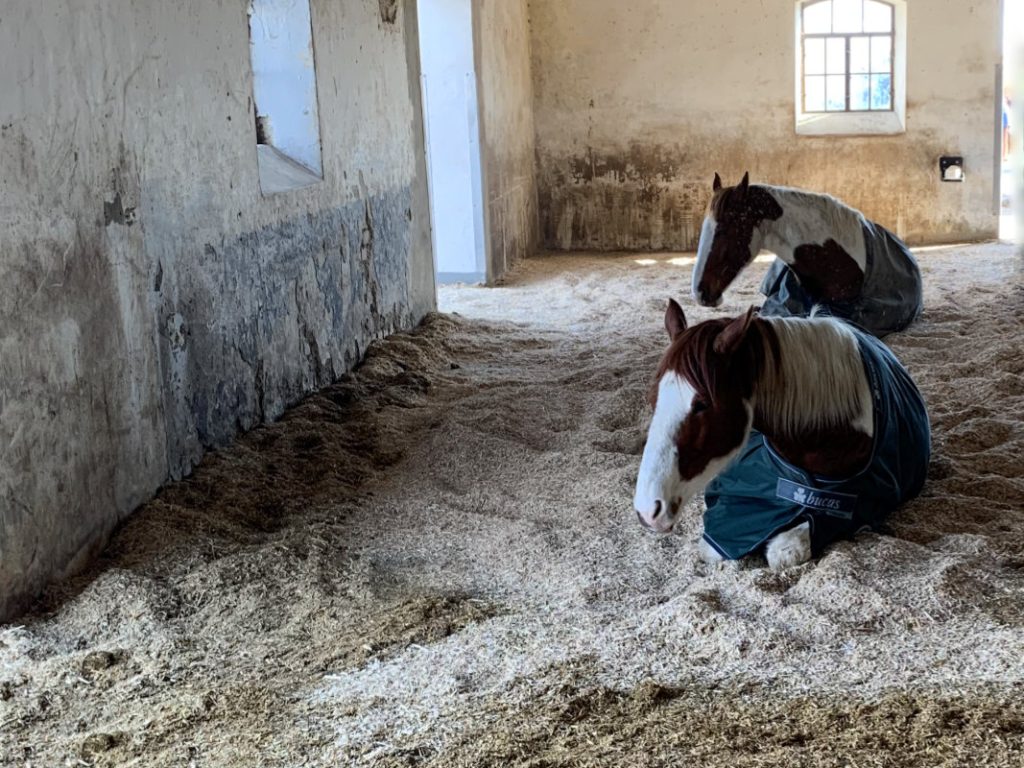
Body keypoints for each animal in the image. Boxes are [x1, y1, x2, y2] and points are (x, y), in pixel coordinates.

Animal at [633, 300, 930, 569]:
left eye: (702, 404)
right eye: (652, 398)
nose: (648, 510)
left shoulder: (853, 510)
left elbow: (785, 550)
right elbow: (714, 546)